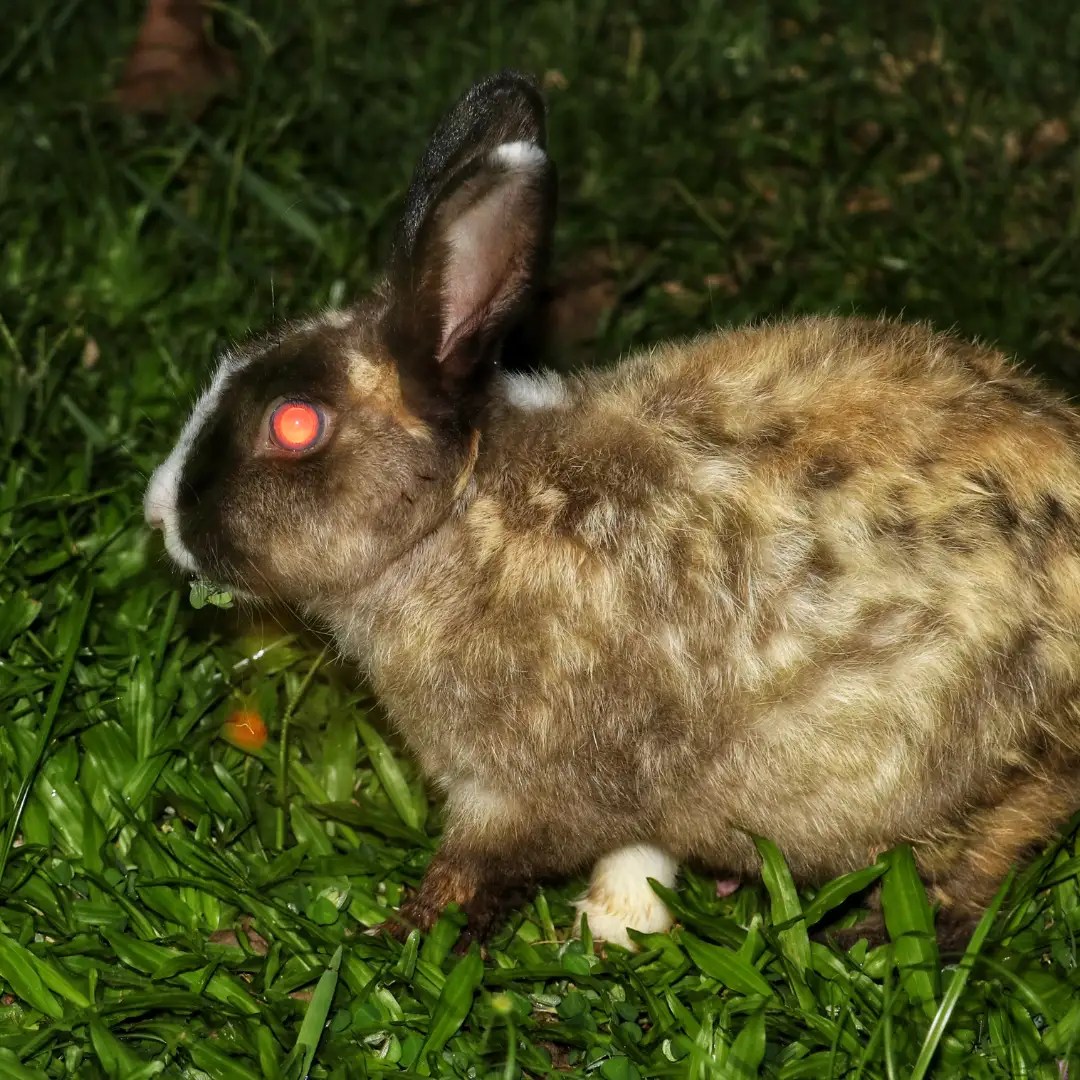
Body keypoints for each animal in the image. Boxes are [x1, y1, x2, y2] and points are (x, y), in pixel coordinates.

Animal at [145, 70, 1080, 952]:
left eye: (295, 424)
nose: (160, 512)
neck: (458, 522)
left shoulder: (520, 792)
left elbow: (477, 872)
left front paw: (400, 938)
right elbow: (638, 853)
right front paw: (612, 929)